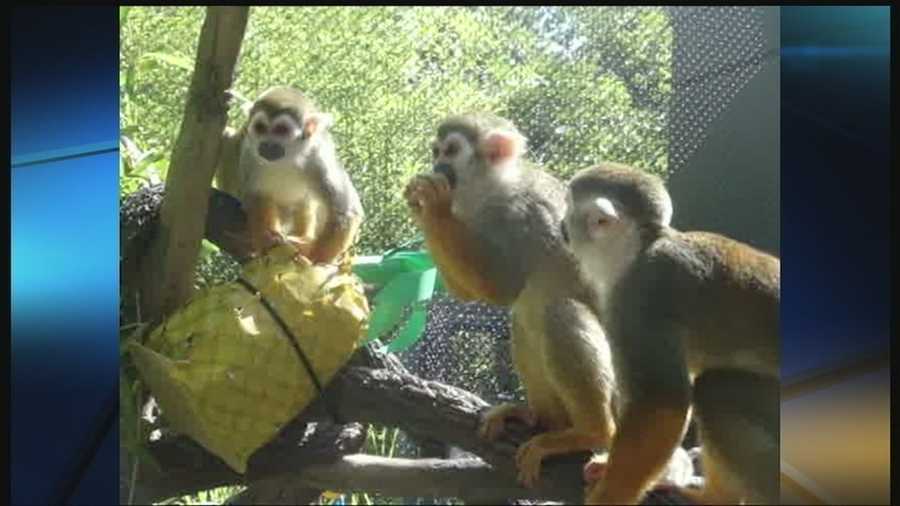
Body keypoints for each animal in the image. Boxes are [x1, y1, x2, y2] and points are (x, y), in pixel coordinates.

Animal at [214, 85, 362, 262]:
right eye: (260, 127)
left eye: (281, 130)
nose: (267, 144)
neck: (287, 158)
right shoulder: (249, 152)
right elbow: (256, 196)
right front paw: (267, 241)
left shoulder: (319, 155)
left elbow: (345, 210)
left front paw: (316, 261)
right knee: (227, 135)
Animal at [402, 115, 620, 490]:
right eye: (436, 151)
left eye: (451, 150)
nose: (437, 165)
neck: (494, 191)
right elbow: (472, 295)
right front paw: (420, 205)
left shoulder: (524, 214)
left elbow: (502, 287)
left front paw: (434, 205)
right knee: (525, 319)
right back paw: (539, 419)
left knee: (557, 312)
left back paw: (592, 432)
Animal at [564, 163, 780, 506]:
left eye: (569, 210)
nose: (562, 226)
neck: (640, 249)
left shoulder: (641, 296)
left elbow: (663, 402)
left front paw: (608, 496)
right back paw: (715, 498)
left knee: (716, 388)